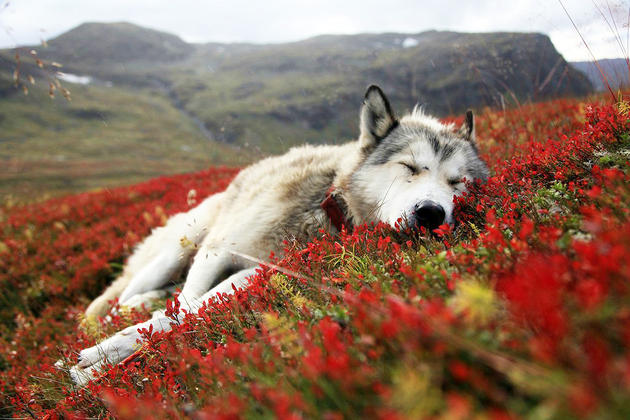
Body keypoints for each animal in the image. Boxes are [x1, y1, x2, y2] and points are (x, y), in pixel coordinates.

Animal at [70, 84, 494, 384]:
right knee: (120, 298)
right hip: (182, 245)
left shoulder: (256, 272)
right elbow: (184, 307)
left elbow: (184, 313)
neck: (327, 206)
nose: (431, 213)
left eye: (458, 182)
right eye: (409, 167)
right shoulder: (217, 252)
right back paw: (122, 311)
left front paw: (103, 361)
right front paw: (102, 357)